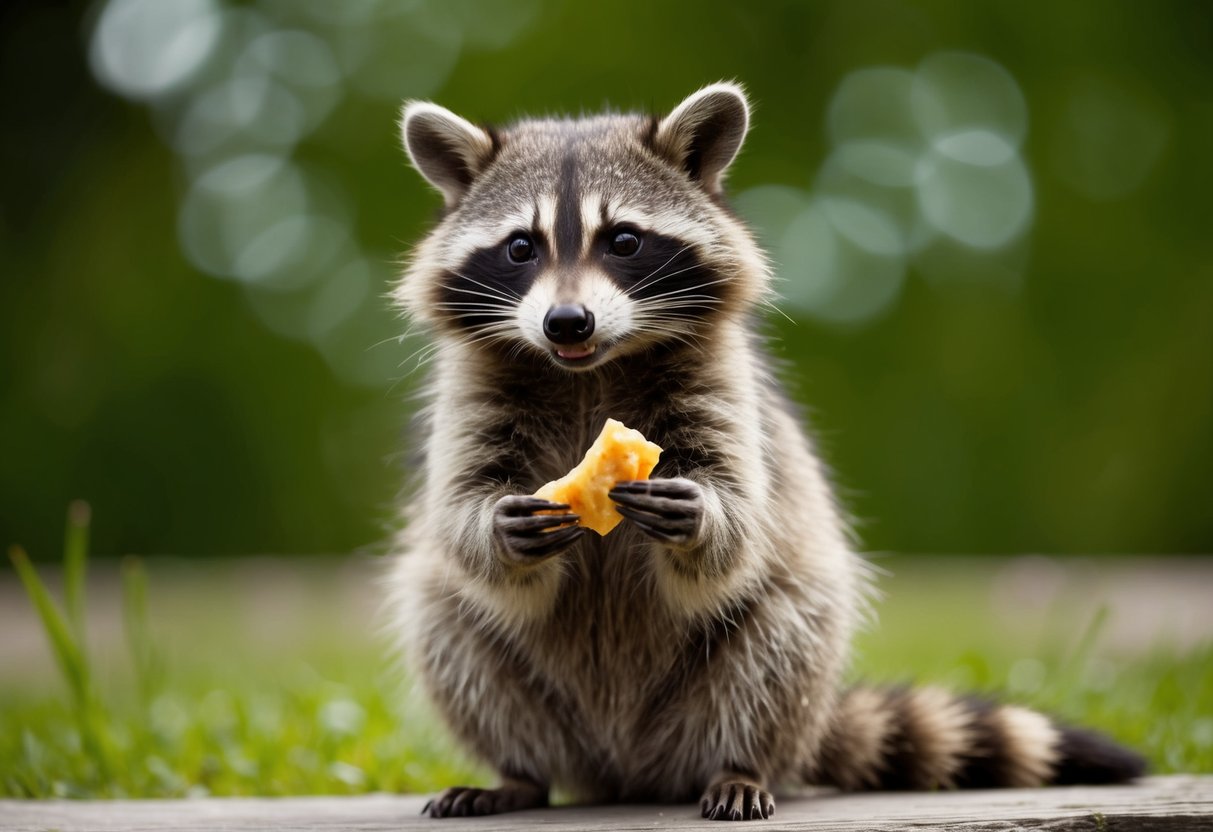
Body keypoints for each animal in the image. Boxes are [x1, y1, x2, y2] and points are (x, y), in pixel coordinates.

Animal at [387, 84, 1143, 821]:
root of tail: (624, 771)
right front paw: (495, 526)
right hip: (518, 687)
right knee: (447, 626)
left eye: (623, 239)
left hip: (775, 662)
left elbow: (740, 513)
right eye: (521, 247)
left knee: (779, 639)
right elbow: (460, 508)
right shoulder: (472, 390)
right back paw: (520, 773)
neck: (586, 369)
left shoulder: (724, 380)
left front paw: (704, 517)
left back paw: (738, 763)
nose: (566, 323)